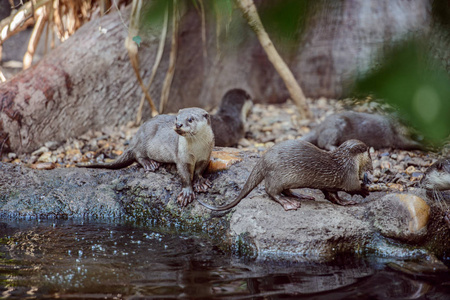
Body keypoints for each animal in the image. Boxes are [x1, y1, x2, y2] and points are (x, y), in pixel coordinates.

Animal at [77, 107, 214, 206]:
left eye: (190, 119)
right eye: (176, 118)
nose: (178, 124)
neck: (196, 150)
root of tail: (136, 135)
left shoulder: (205, 156)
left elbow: (199, 171)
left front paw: (200, 182)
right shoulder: (182, 157)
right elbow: (185, 175)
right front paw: (187, 193)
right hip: (143, 143)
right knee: (137, 155)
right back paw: (150, 163)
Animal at [198, 139, 372, 211]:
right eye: (370, 157)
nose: (371, 169)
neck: (345, 161)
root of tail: (264, 158)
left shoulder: (330, 185)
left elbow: (333, 195)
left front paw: (345, 202)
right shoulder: (348, 175)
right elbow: (352, 187)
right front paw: (364, 190)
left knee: (284, 190)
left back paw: (300, 195)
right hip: (277, 176)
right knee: (271, 191)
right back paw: (288, 203)